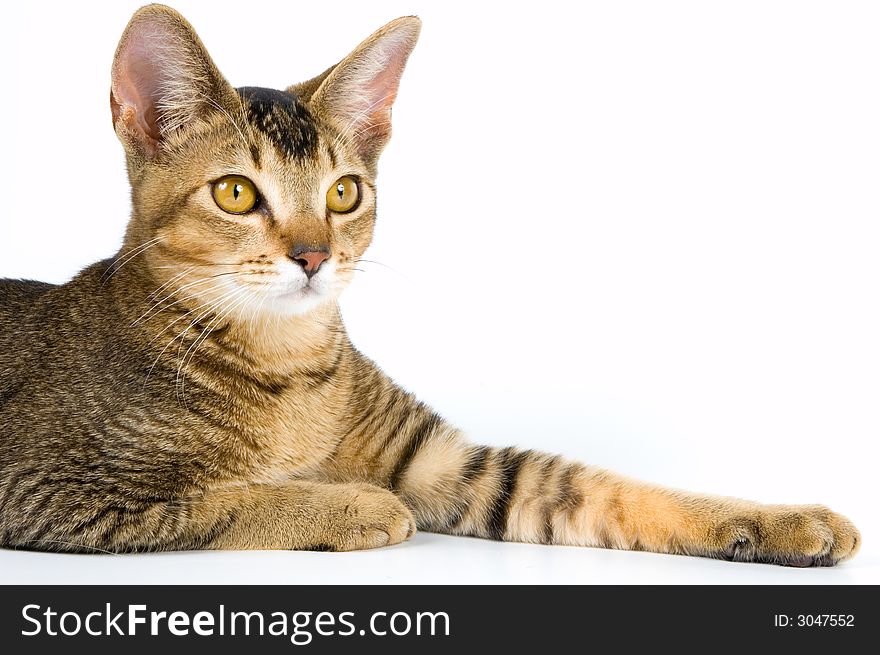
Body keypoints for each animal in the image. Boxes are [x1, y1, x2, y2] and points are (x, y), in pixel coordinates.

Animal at [0, 5, 860, 568]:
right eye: (237, 194)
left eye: (344, 193)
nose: (313, 256)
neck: (289, 364)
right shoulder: (49, 487)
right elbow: (228, 499)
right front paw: (356, 503)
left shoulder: (450, 464)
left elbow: (607, 485)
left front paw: (784, 518)